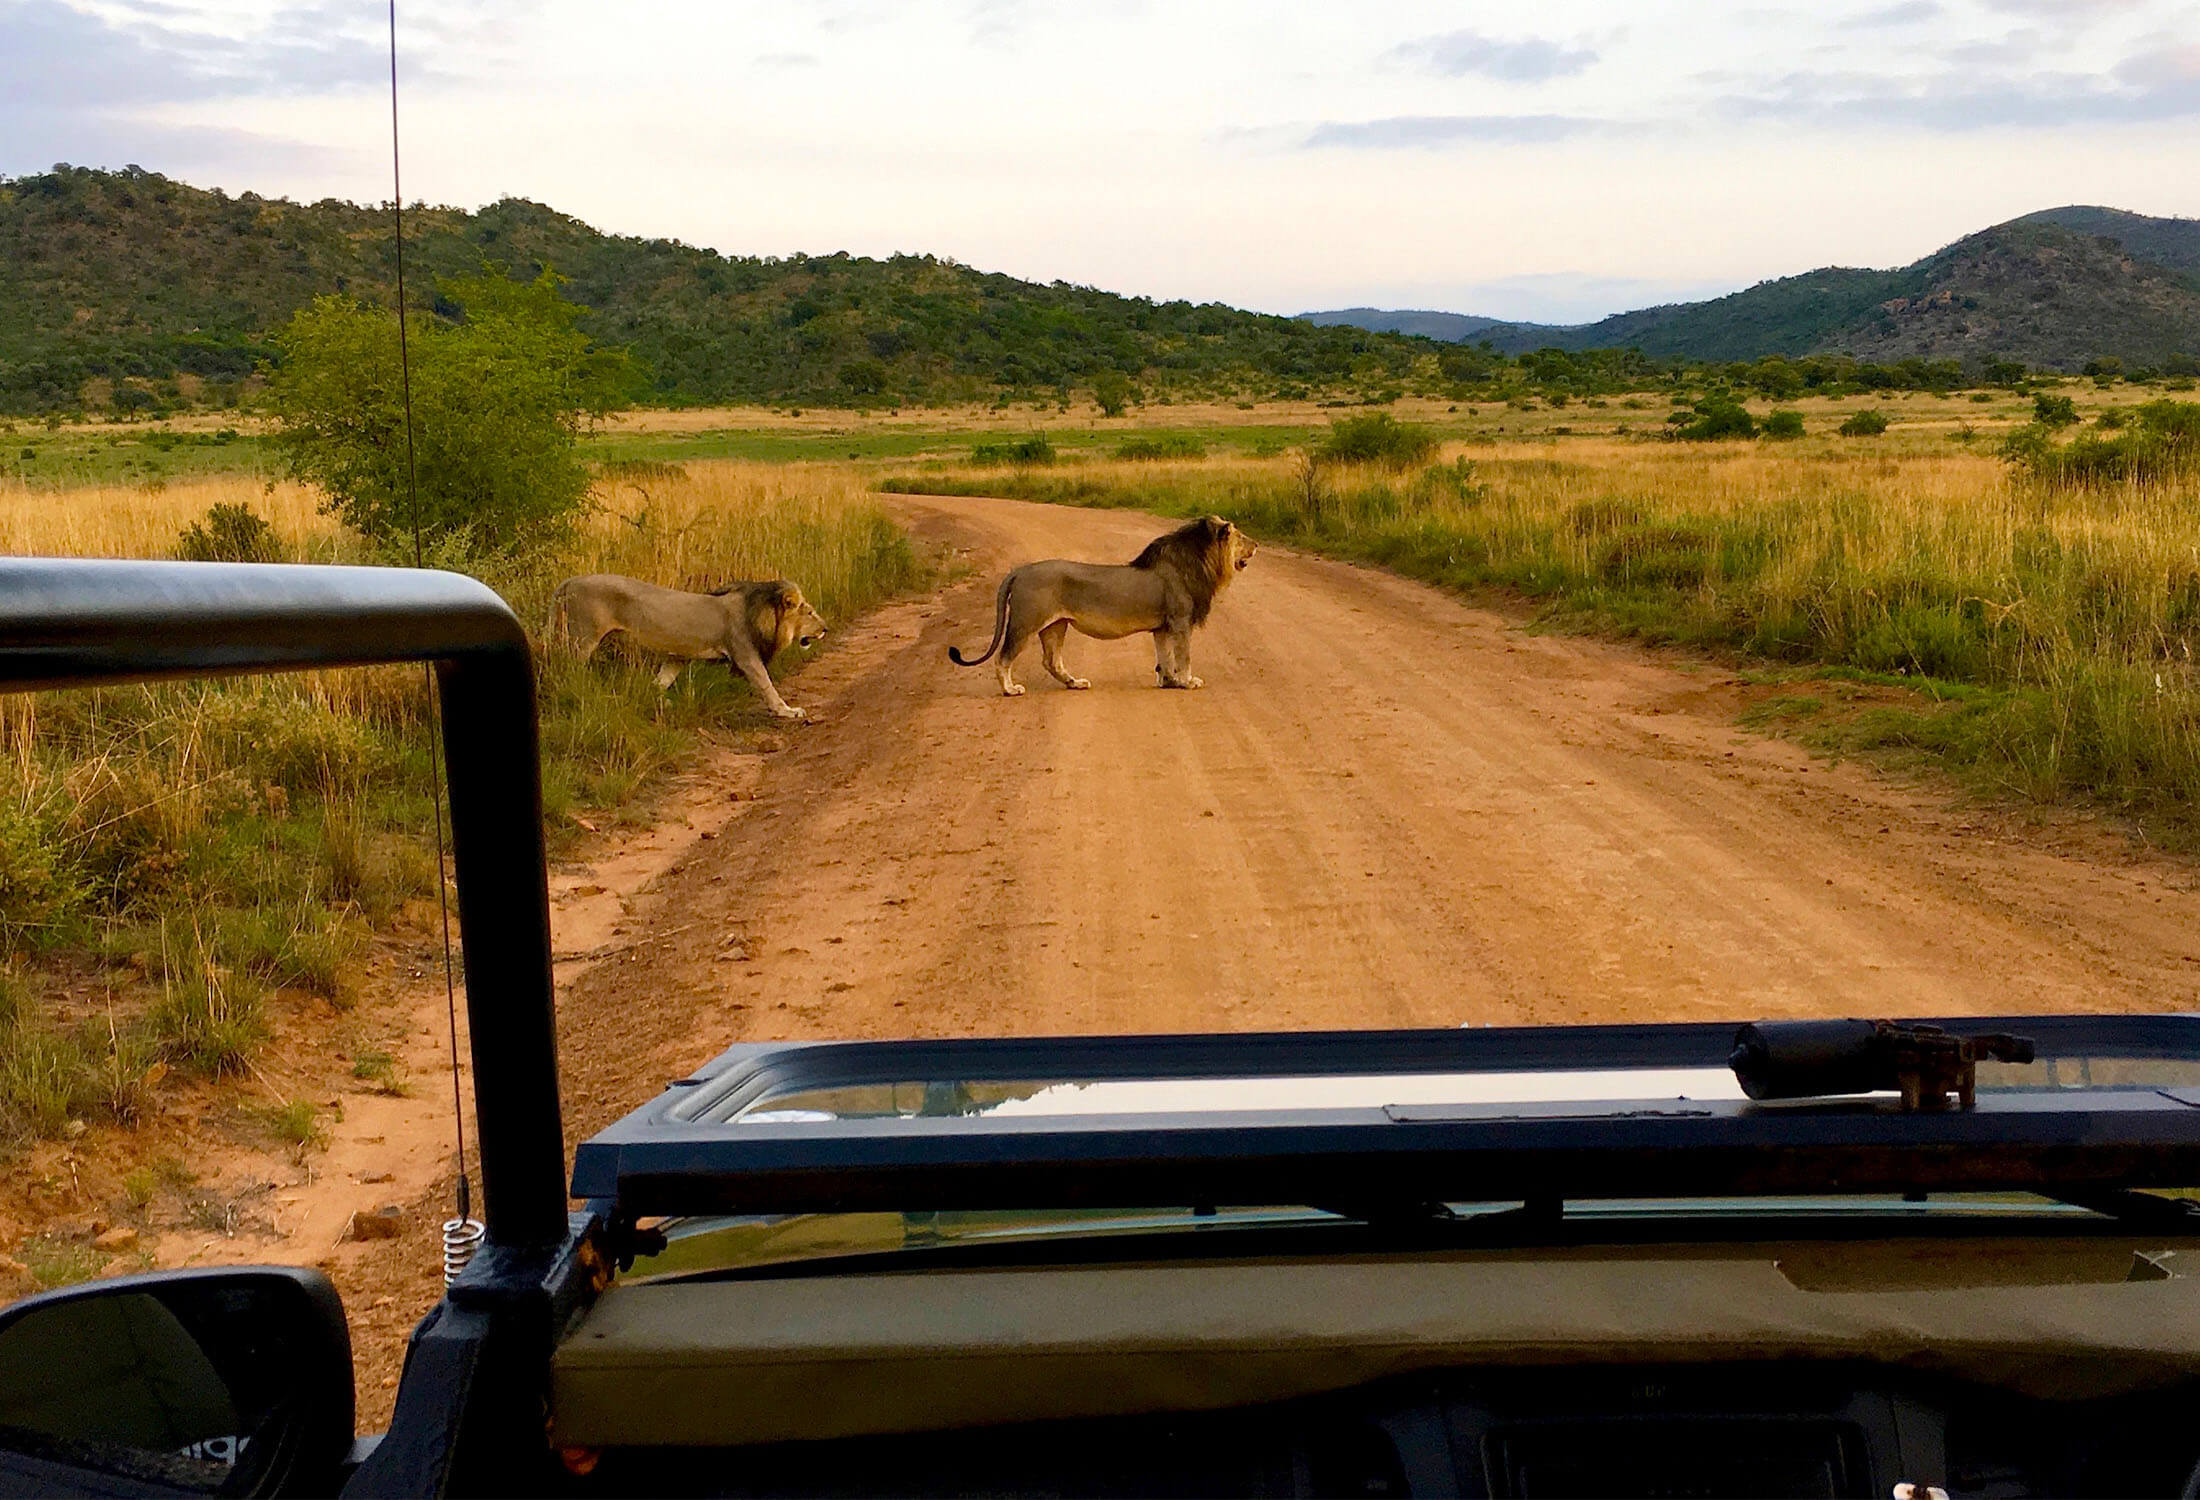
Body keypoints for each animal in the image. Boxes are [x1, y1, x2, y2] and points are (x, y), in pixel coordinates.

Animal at [547, 571, 827, 717]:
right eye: (810, 612)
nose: (826, 629)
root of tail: (570, 580)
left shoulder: (678, 656)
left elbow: (660, 681)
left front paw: (661, 702)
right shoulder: (745, 654)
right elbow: (767, 686)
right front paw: (788, 711)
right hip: (584, 637)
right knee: (568, 669)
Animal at [946, 514, 1258, 695]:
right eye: (1240, 536)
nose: (1256, 545)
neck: (1198, 563)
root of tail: (1019, 570)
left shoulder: (1162, 627)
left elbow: (1164, 656)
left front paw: (1168, 681)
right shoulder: (1180, 621)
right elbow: (1184, 656)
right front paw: (1187, 682)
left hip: (1056, 625)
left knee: (1051, 660)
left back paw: (1075, 683)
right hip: (1026, 622)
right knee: (1004, 657)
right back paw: (1011, 690)